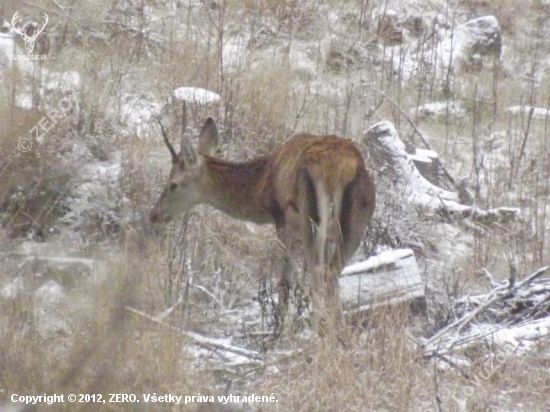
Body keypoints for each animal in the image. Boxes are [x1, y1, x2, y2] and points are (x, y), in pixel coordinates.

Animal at [150, 116, 376, 334]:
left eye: (173, 184)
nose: (154, 214)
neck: (263, 186)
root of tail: (338, 170)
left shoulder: (281, 220)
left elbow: (284, 282)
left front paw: (279, 330)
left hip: (310, 219)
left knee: (319, 274)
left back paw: (317, 334)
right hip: (356, 223)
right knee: (333, 273)